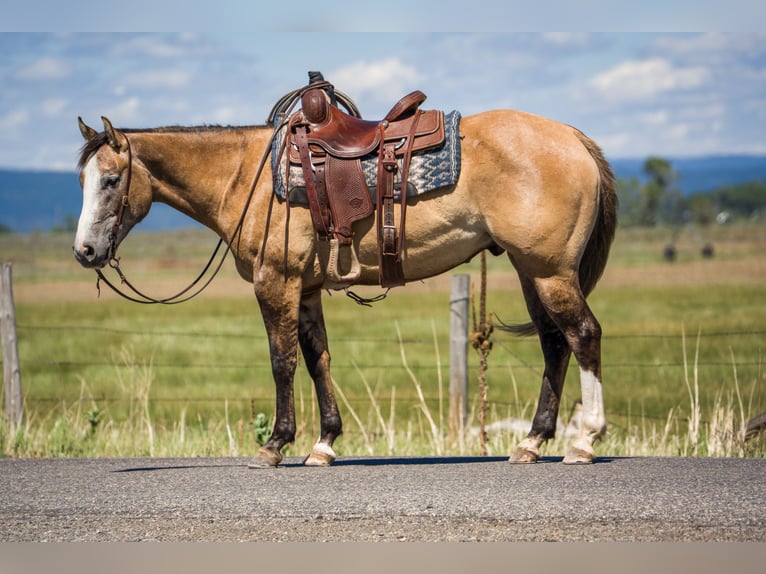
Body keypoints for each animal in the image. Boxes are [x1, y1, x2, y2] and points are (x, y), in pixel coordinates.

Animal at [73, 100, 617, 468]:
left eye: (111, 181)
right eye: (82, 181)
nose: (85, 252)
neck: (245, 176)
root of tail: (573, 138)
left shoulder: (276, 283)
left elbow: (283, 361)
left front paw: (274, 445)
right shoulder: (307, 290)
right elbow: (318, 360)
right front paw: (323, 444)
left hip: (549, 271)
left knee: (583, 336)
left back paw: (585, 440)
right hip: (532, 271)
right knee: (554, 345)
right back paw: (532, 442)